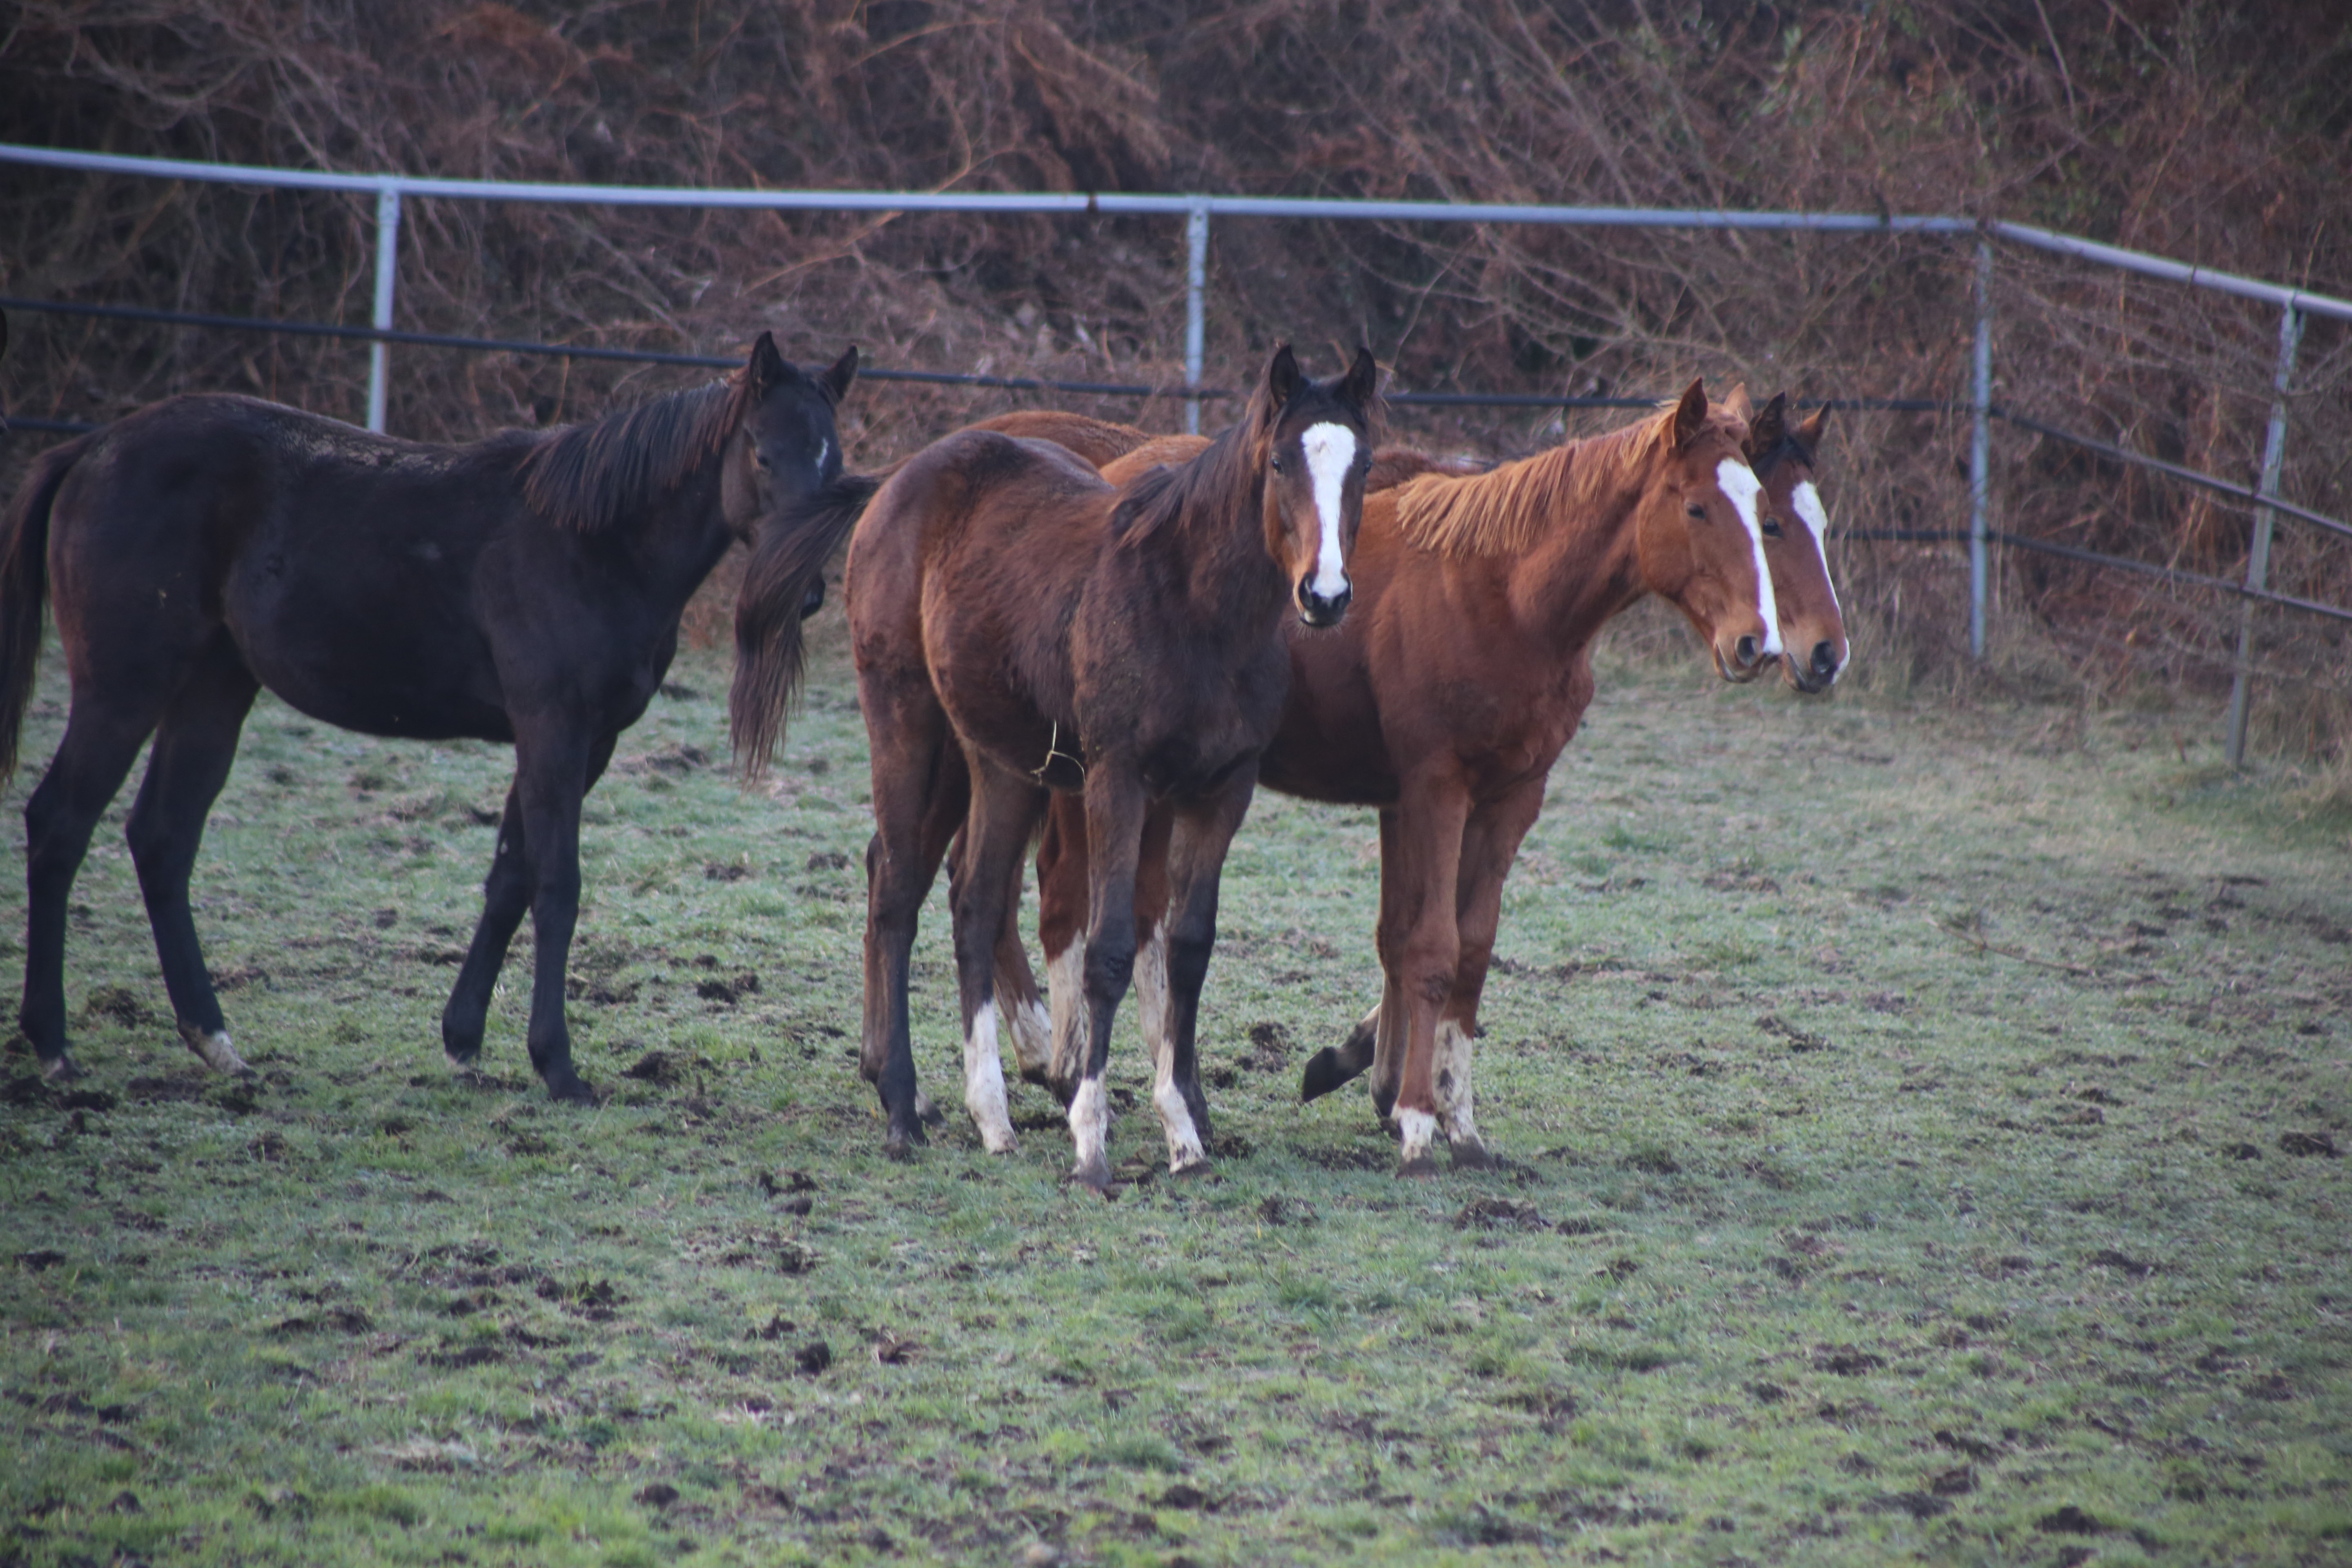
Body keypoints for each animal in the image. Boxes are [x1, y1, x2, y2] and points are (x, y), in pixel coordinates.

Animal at [0, 334, 865, 1105]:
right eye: (762, 454)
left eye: (835, 465)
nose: (807, 594)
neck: (595, 541)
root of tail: (92, 450)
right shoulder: (553, 729)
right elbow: (557, 883)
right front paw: (559, 1068)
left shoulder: (585, 743)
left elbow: (511, 877)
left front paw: (464, 1040)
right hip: (123, 687)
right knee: (61, 822)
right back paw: (54, 1045)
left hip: (213, 689)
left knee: (163, 838)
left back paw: (216, 1043)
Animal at [997, 383, 1797, 1166]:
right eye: (1696, 507)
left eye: (1763, 511)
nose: (1757, 642)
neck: (1503, 597)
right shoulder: (1436, 790)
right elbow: (1430, 948)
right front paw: (1415, 1120)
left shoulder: (1512, 798)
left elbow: (1471, 950)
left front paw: (1461, 1122)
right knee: (1060, 899)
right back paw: (1062, 1070)